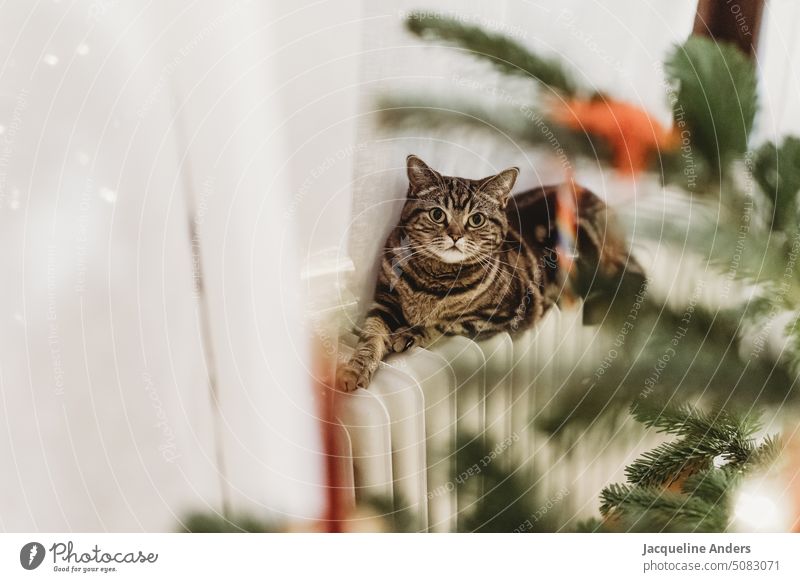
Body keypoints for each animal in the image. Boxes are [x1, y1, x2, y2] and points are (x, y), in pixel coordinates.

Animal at [338, 155, 644, 392]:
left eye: (476, 219)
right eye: (437, 214)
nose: (455, 236)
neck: (434, 279)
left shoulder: (502, 314)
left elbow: (446, 323)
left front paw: (410, 333)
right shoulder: (383, 301)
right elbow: (370, 336)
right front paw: (355, 370)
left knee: (637, 278)